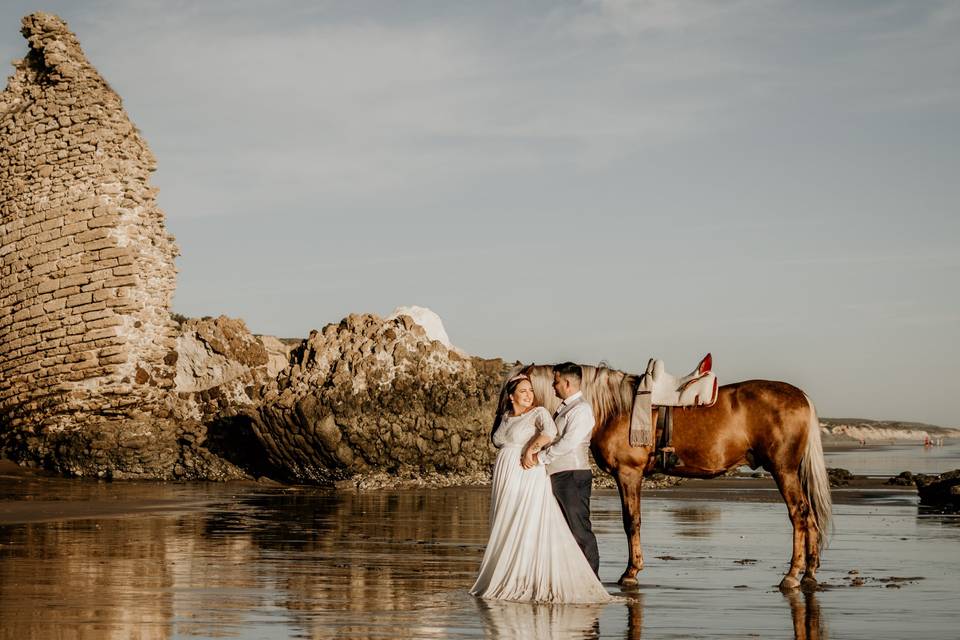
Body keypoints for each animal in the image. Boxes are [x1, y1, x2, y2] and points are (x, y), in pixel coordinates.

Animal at [510, 364, 832, 592]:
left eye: (516, 389)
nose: (505, 419)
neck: (616, 409)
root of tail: (801, 397)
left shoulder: (628, 474)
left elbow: (631, 522)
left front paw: (630, 573)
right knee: (810, 515)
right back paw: (809, 573)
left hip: (783, 470)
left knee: (799, 514)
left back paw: (791, 576)